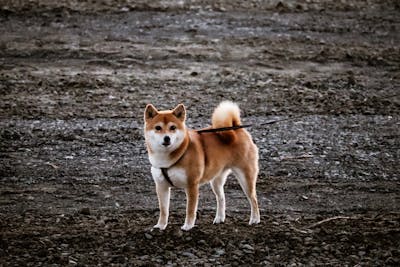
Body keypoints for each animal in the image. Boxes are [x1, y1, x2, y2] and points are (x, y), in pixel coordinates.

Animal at [144, 101, 260, 231]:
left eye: (173, 127)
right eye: (158, 128)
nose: (167, 138)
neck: (169, 158)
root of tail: (236, 128)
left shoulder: (191, 185)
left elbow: (190, 209)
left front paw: (188, 226)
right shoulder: (161, 186)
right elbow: (163, 210)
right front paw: (160, 226)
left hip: (246, 178)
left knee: (253, 199)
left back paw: (255, 219)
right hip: (216, 181)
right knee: (221, 198)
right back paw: (219, 218)